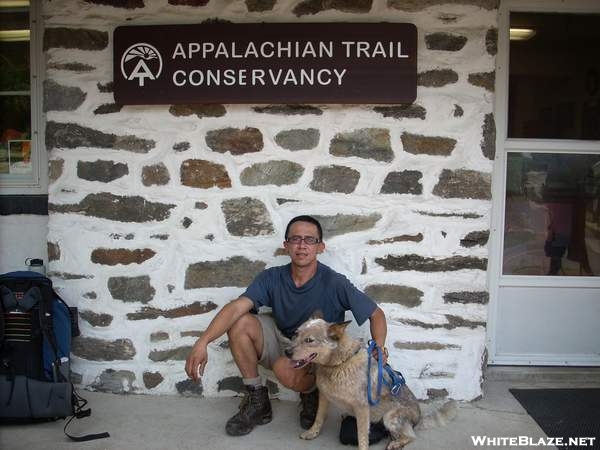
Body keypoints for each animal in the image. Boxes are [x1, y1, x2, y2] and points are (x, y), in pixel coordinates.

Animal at [288, 318, 458, 448]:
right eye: (296, 334)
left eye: (309, 340)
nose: (286, 352)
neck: (339, 363)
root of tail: (418, 418)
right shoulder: (324, 396)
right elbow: (319, 418)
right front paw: (312, 433)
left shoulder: (362, 408)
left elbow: (362, 437)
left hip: (390, 417)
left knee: (410, 435)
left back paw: (396, 443)